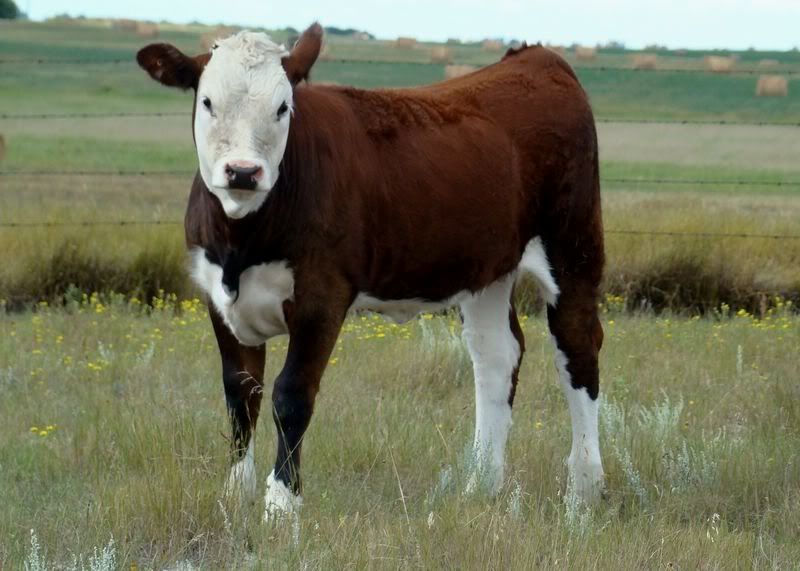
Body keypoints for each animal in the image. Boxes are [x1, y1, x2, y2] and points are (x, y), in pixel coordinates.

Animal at [136, 23, 605, 521]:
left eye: (282, 107)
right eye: (208, 102)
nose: (243, 172)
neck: (241, 242)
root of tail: (535, 58)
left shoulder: (322, 296)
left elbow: (290, 395)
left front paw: (281, 505)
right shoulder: (217, 296)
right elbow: (241, 394)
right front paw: (234, 495)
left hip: (573, 246)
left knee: (578, 347)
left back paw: (584, 491)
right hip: (488, 270)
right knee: (496, 354)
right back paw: (479, 487)